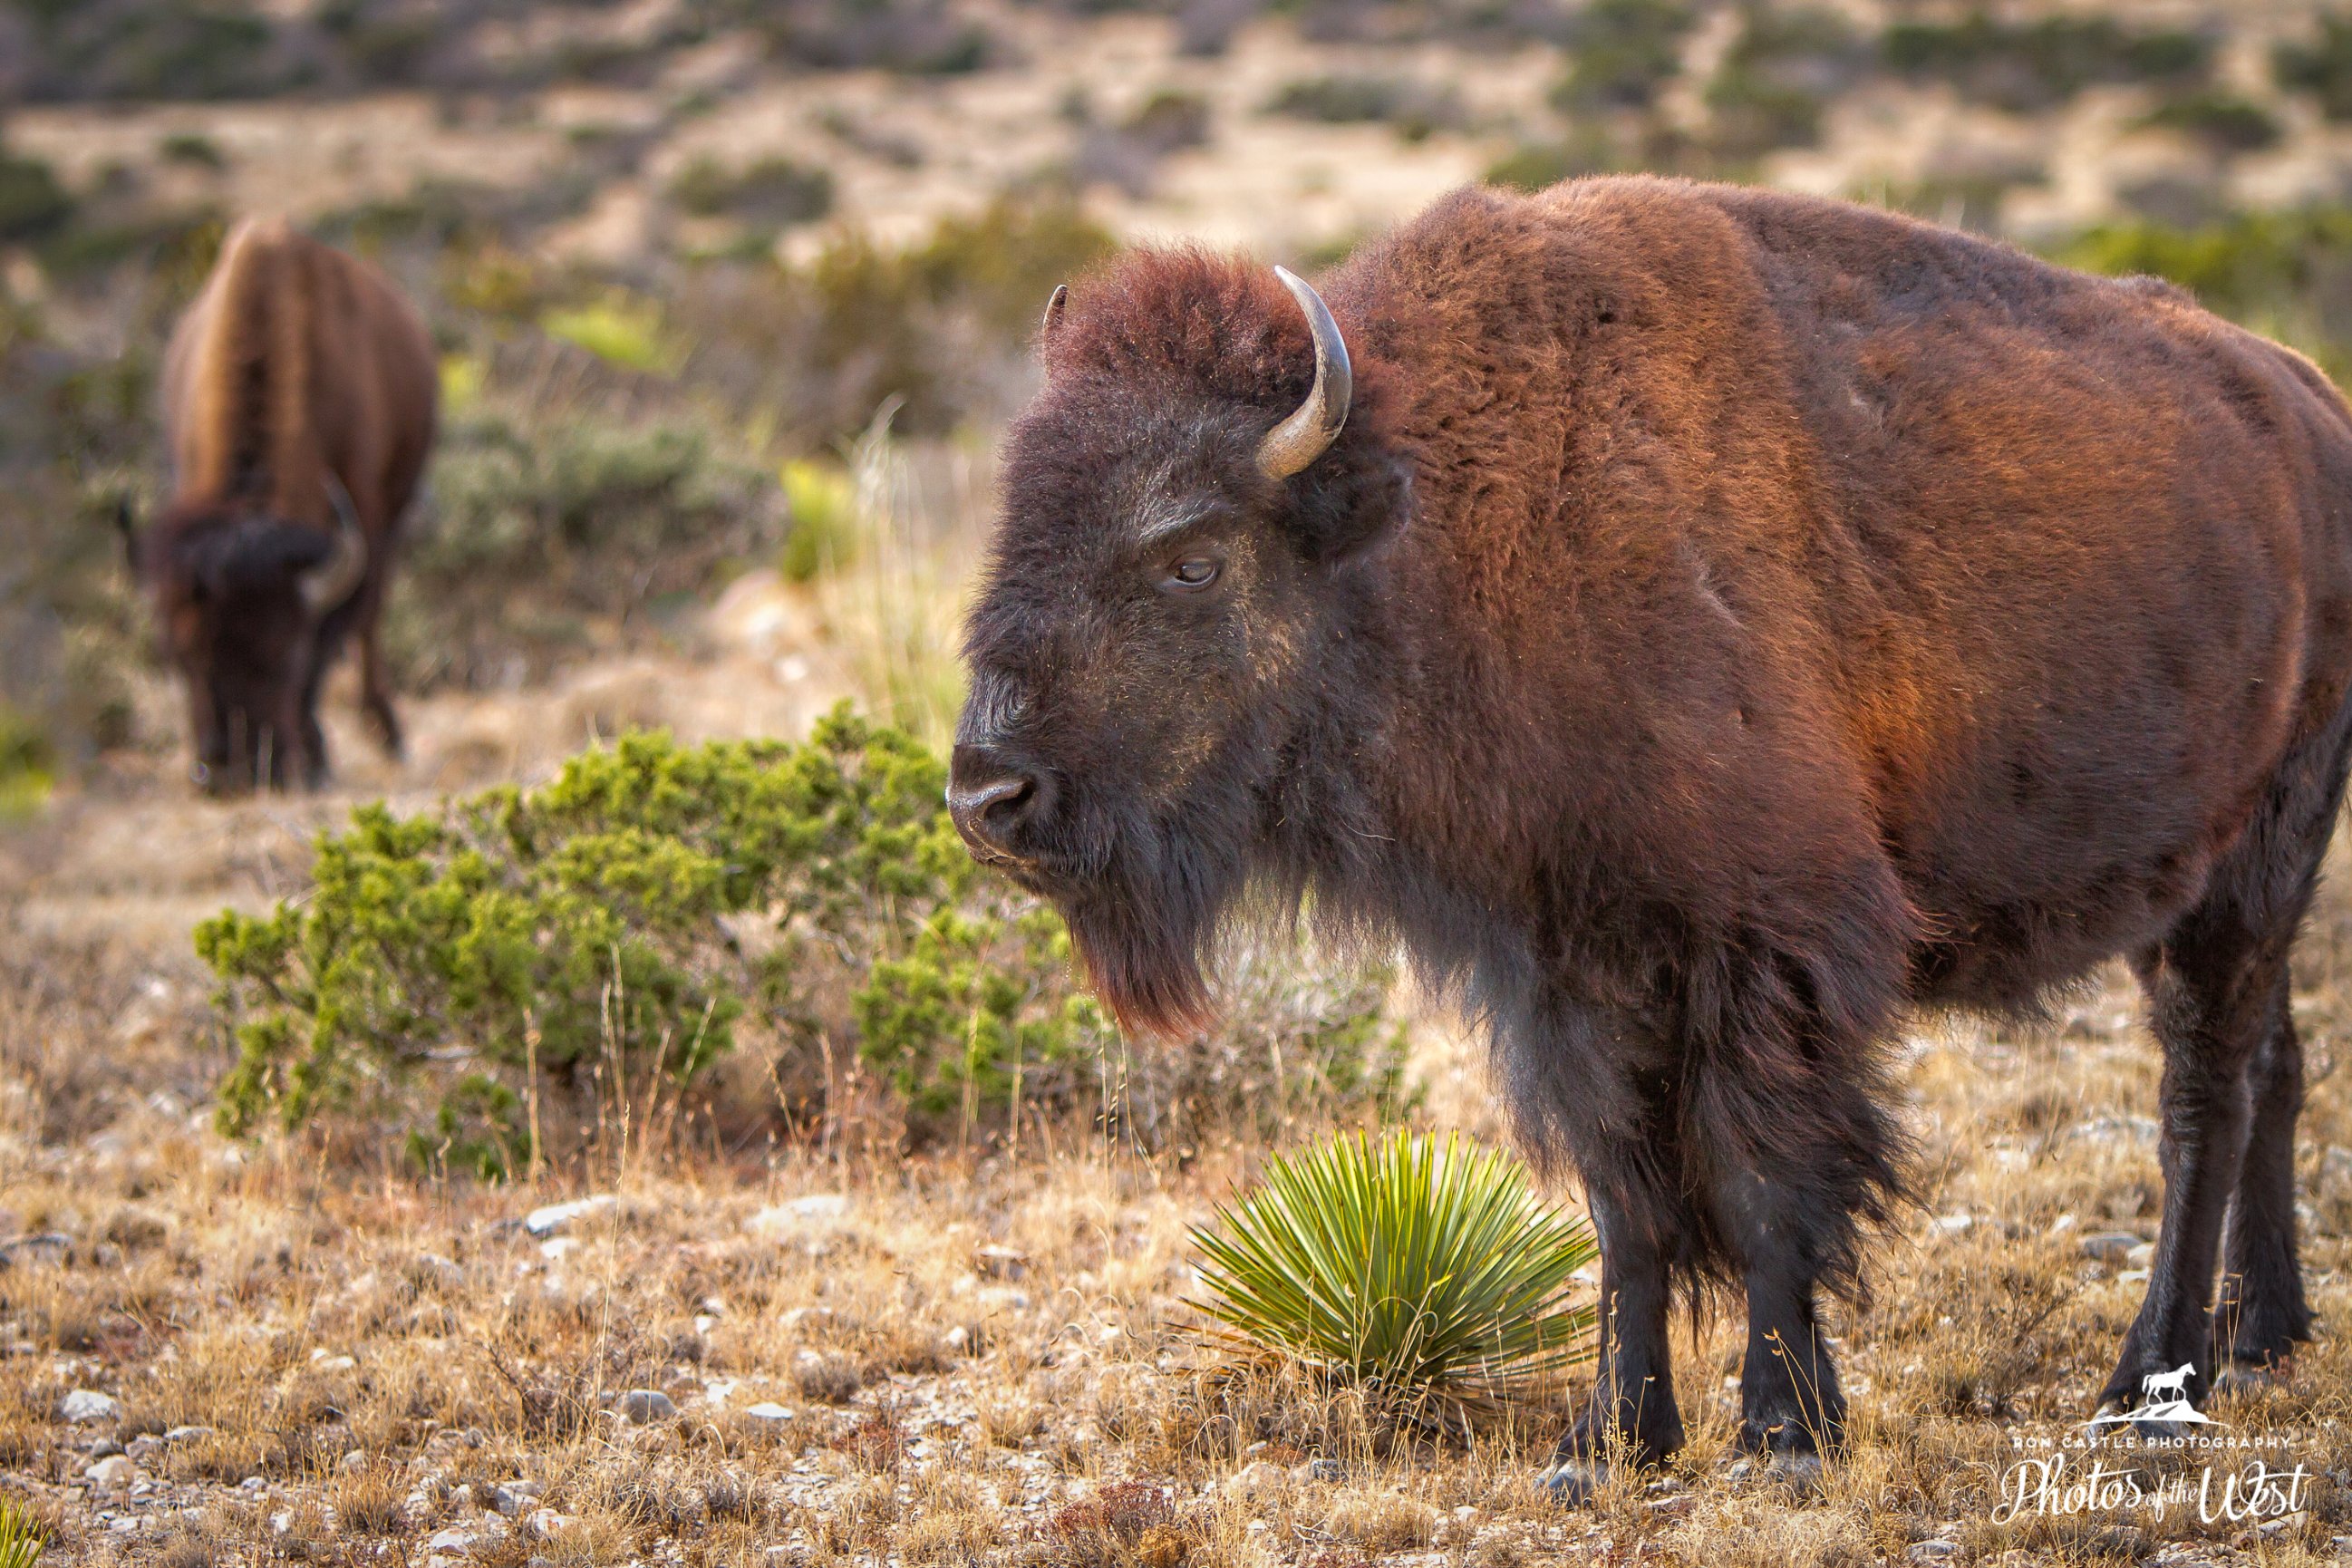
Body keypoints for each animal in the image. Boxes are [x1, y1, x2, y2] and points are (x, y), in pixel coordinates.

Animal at [131, 217, 437, 799]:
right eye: (177, 654)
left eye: (285, 654)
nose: (232, 771)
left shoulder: (367, 523)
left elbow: (335, 639)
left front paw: (315, 760)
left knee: (370, 626)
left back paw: (388, 731)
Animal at [941, 175, 2352, 1495]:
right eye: (1016, 521)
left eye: (1190, 555)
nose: (988, 796)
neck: (1453, 514)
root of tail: (2310, 405)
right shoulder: (1569, 962)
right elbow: (1626, 1202)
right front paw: (1606, 1442)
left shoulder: (1768, 946)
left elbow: (1762, 1183)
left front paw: (1782, 1434)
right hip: (2199, 892)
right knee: (2273, 1065)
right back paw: (2264, 1330)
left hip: (2251, 868)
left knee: (2201, 1096)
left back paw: (2150, 1381)